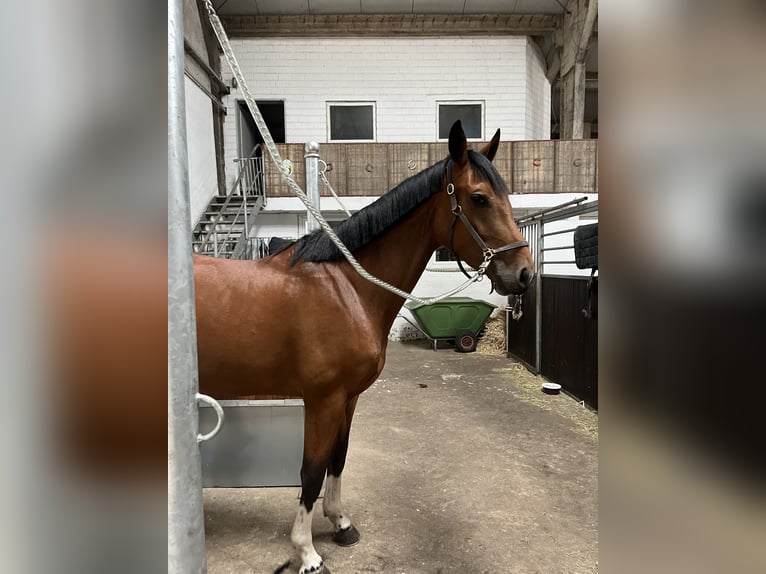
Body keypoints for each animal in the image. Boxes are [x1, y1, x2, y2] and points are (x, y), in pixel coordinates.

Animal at [193, 121, 534, 574]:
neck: (347, 288)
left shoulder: (348, 398)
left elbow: (338, 459)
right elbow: (311, 470)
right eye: (479, 198)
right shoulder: (323, 399)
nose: (525, 273)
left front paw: (340, 524)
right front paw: (306, 552)